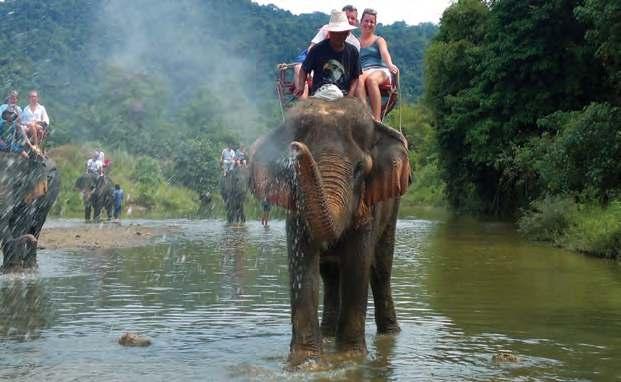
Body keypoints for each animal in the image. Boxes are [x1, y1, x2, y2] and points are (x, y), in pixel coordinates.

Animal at [247, 97, 412, 366]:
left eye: (359, 169)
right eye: (291, 169)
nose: (296, 147)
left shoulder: (369, 207)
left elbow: (358, 265)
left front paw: (350, 359)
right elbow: (305, 267)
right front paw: (306, 362)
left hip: (393, 206)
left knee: (380, 269)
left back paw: (390, 334)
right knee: (330, 275)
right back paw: (327, 333)